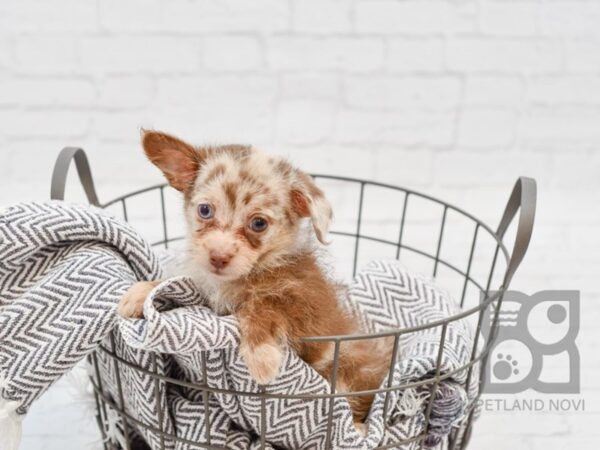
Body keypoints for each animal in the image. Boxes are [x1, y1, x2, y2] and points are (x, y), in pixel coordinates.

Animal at [119, 131, 392, 426]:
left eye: (258, 223)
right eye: (205, 210)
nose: (218, 257)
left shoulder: (304, 314)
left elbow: (262, 305)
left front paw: (261, 357)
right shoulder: (203, 292)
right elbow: (174, 282)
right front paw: (139, 293)